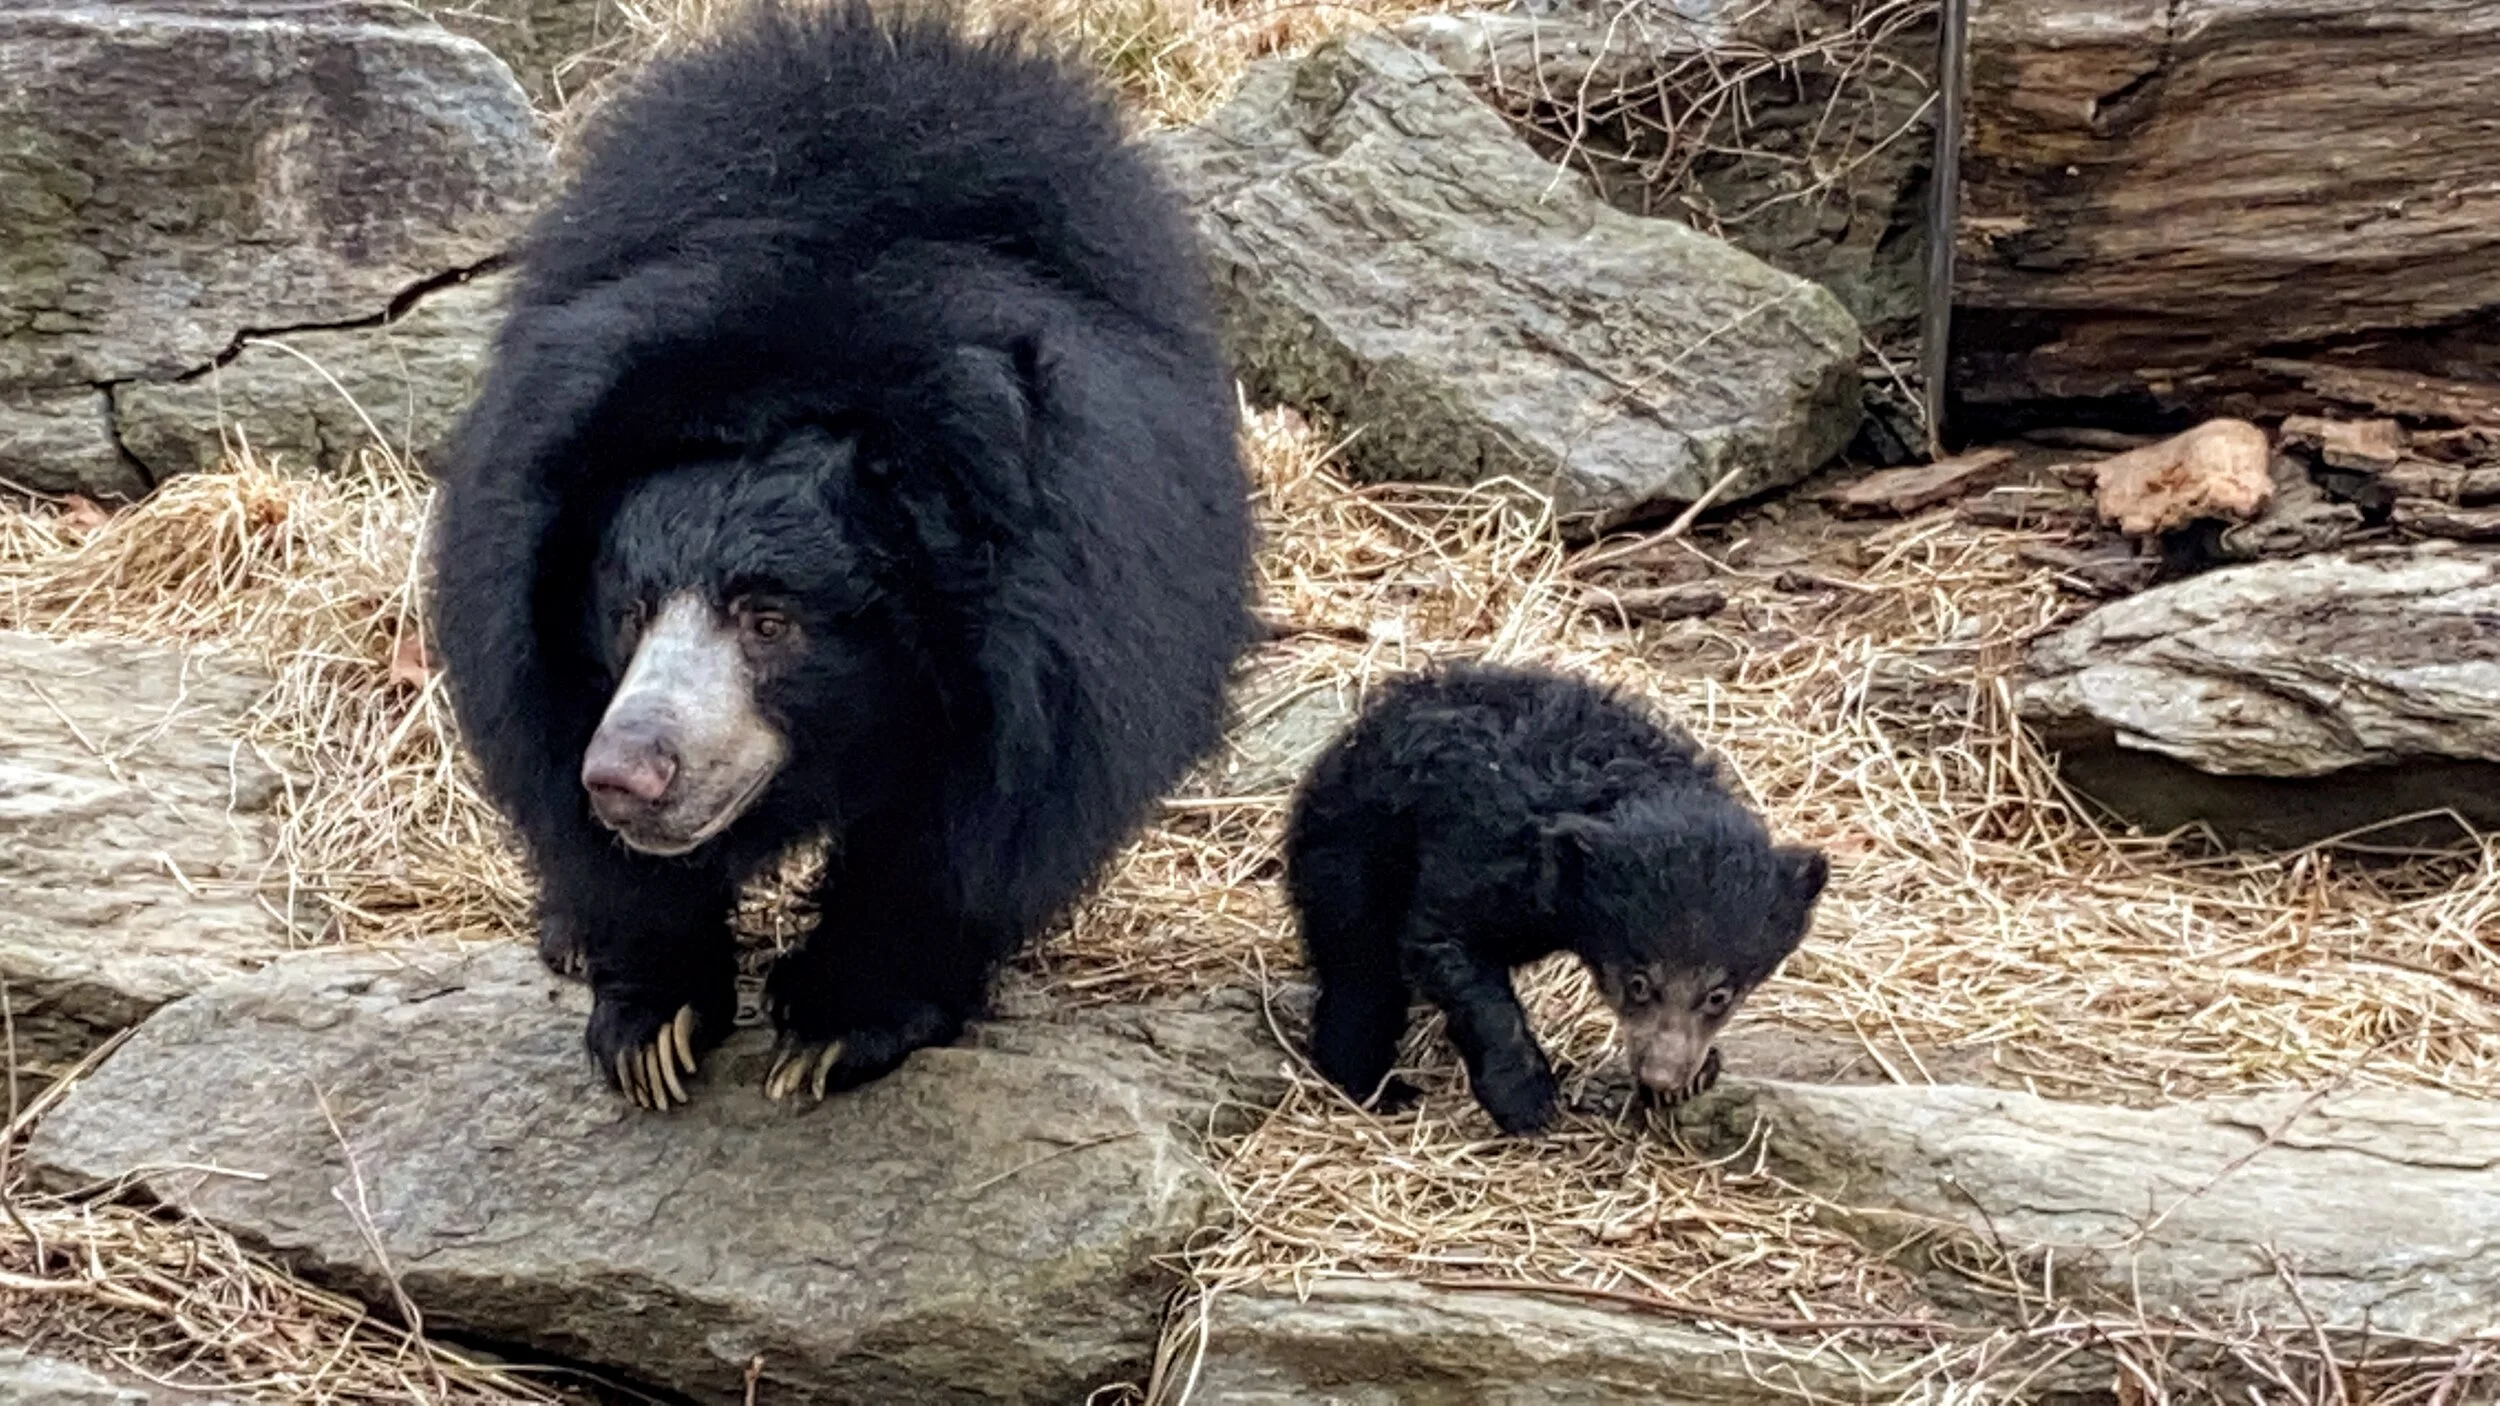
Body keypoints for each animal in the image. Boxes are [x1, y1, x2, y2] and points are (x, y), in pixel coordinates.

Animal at [423, 0, 1257, 1110]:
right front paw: (652, 1025)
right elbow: (561, 774)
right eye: (628, 610)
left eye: (771, 619)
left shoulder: (1056, 654)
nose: (626, 775)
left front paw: (834, 1026)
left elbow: (954, 839)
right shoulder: (522, 618)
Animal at [1281, 661, 1830, 1136]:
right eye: (1638, 983)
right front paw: (1528, 1101)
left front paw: (1697, 1076)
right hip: (1351, 854)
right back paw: (1375, 1087)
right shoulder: (1481, 851)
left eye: (1720, 995)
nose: (1662, 1076)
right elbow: (1446, 945)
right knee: (1360, 971)